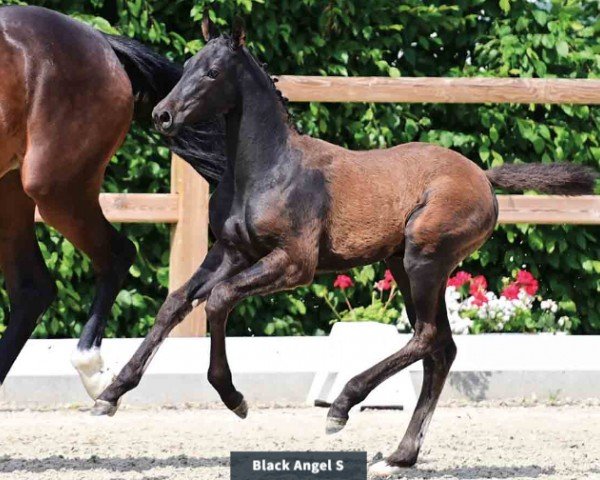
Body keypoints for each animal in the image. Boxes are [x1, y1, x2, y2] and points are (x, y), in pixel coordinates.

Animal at [92, 15, 596, 476]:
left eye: (213, 72)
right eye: (188, 65)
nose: (162, 115)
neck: (268, 170)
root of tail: (485, 178)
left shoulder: (295, 263)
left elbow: (218, 299)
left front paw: (234, 397)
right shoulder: (231, 253)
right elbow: (175, 303)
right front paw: (110, 395)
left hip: (424, 258)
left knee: (427, 336)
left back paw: (342, 407)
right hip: (406, 266)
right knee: (442, 349)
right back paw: (400, 454)